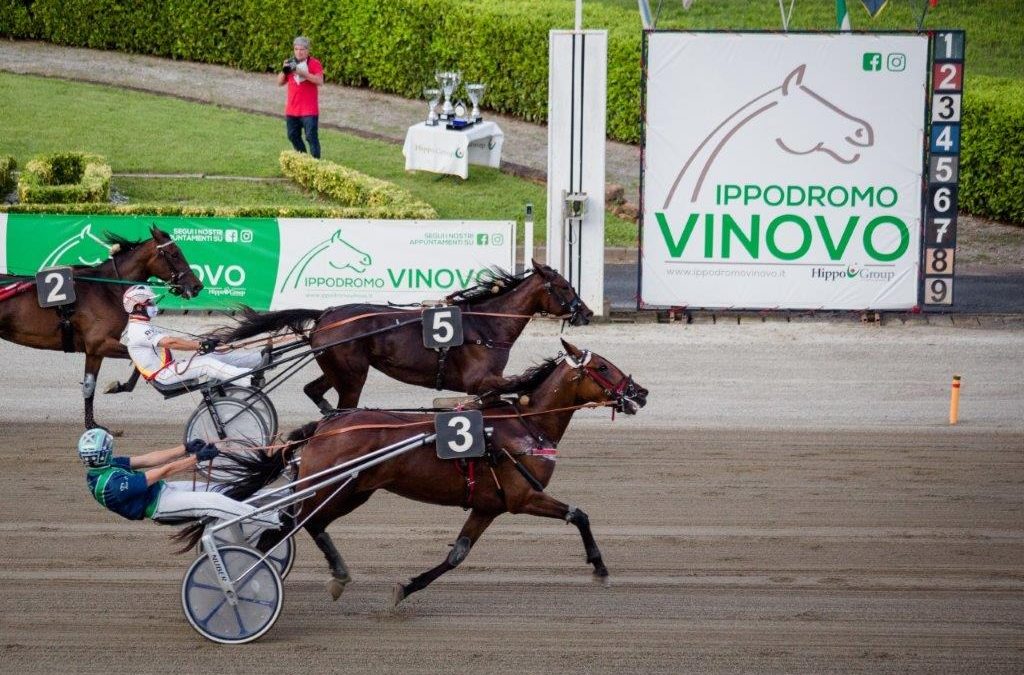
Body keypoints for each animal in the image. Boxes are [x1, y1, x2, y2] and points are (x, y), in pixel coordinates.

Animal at [0, 227, 201, 428]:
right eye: (174, 254)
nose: (197, 286)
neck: (107, 289)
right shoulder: (100, 343)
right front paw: (118, 387)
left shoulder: (94, 351)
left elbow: (89, 386)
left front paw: (92, 424)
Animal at [197, 340, 647, 606]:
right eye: (603, 367)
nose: (640, 392)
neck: (524, 425)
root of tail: (325, 427)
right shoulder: (523, 498)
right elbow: (579, 514)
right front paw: (600, 568)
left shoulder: (489, 505)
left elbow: (457, 554)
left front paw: (406, 587)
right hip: (336, 488)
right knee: (294, 523)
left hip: (353, 491)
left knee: (303, 524)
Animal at [218, 261, 593, 411]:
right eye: (564, 286)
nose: (587, 312)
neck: (487, 326)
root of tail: (325, 314)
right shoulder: (480, 380)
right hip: (352, 375)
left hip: (337, 368)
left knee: (314, 390)